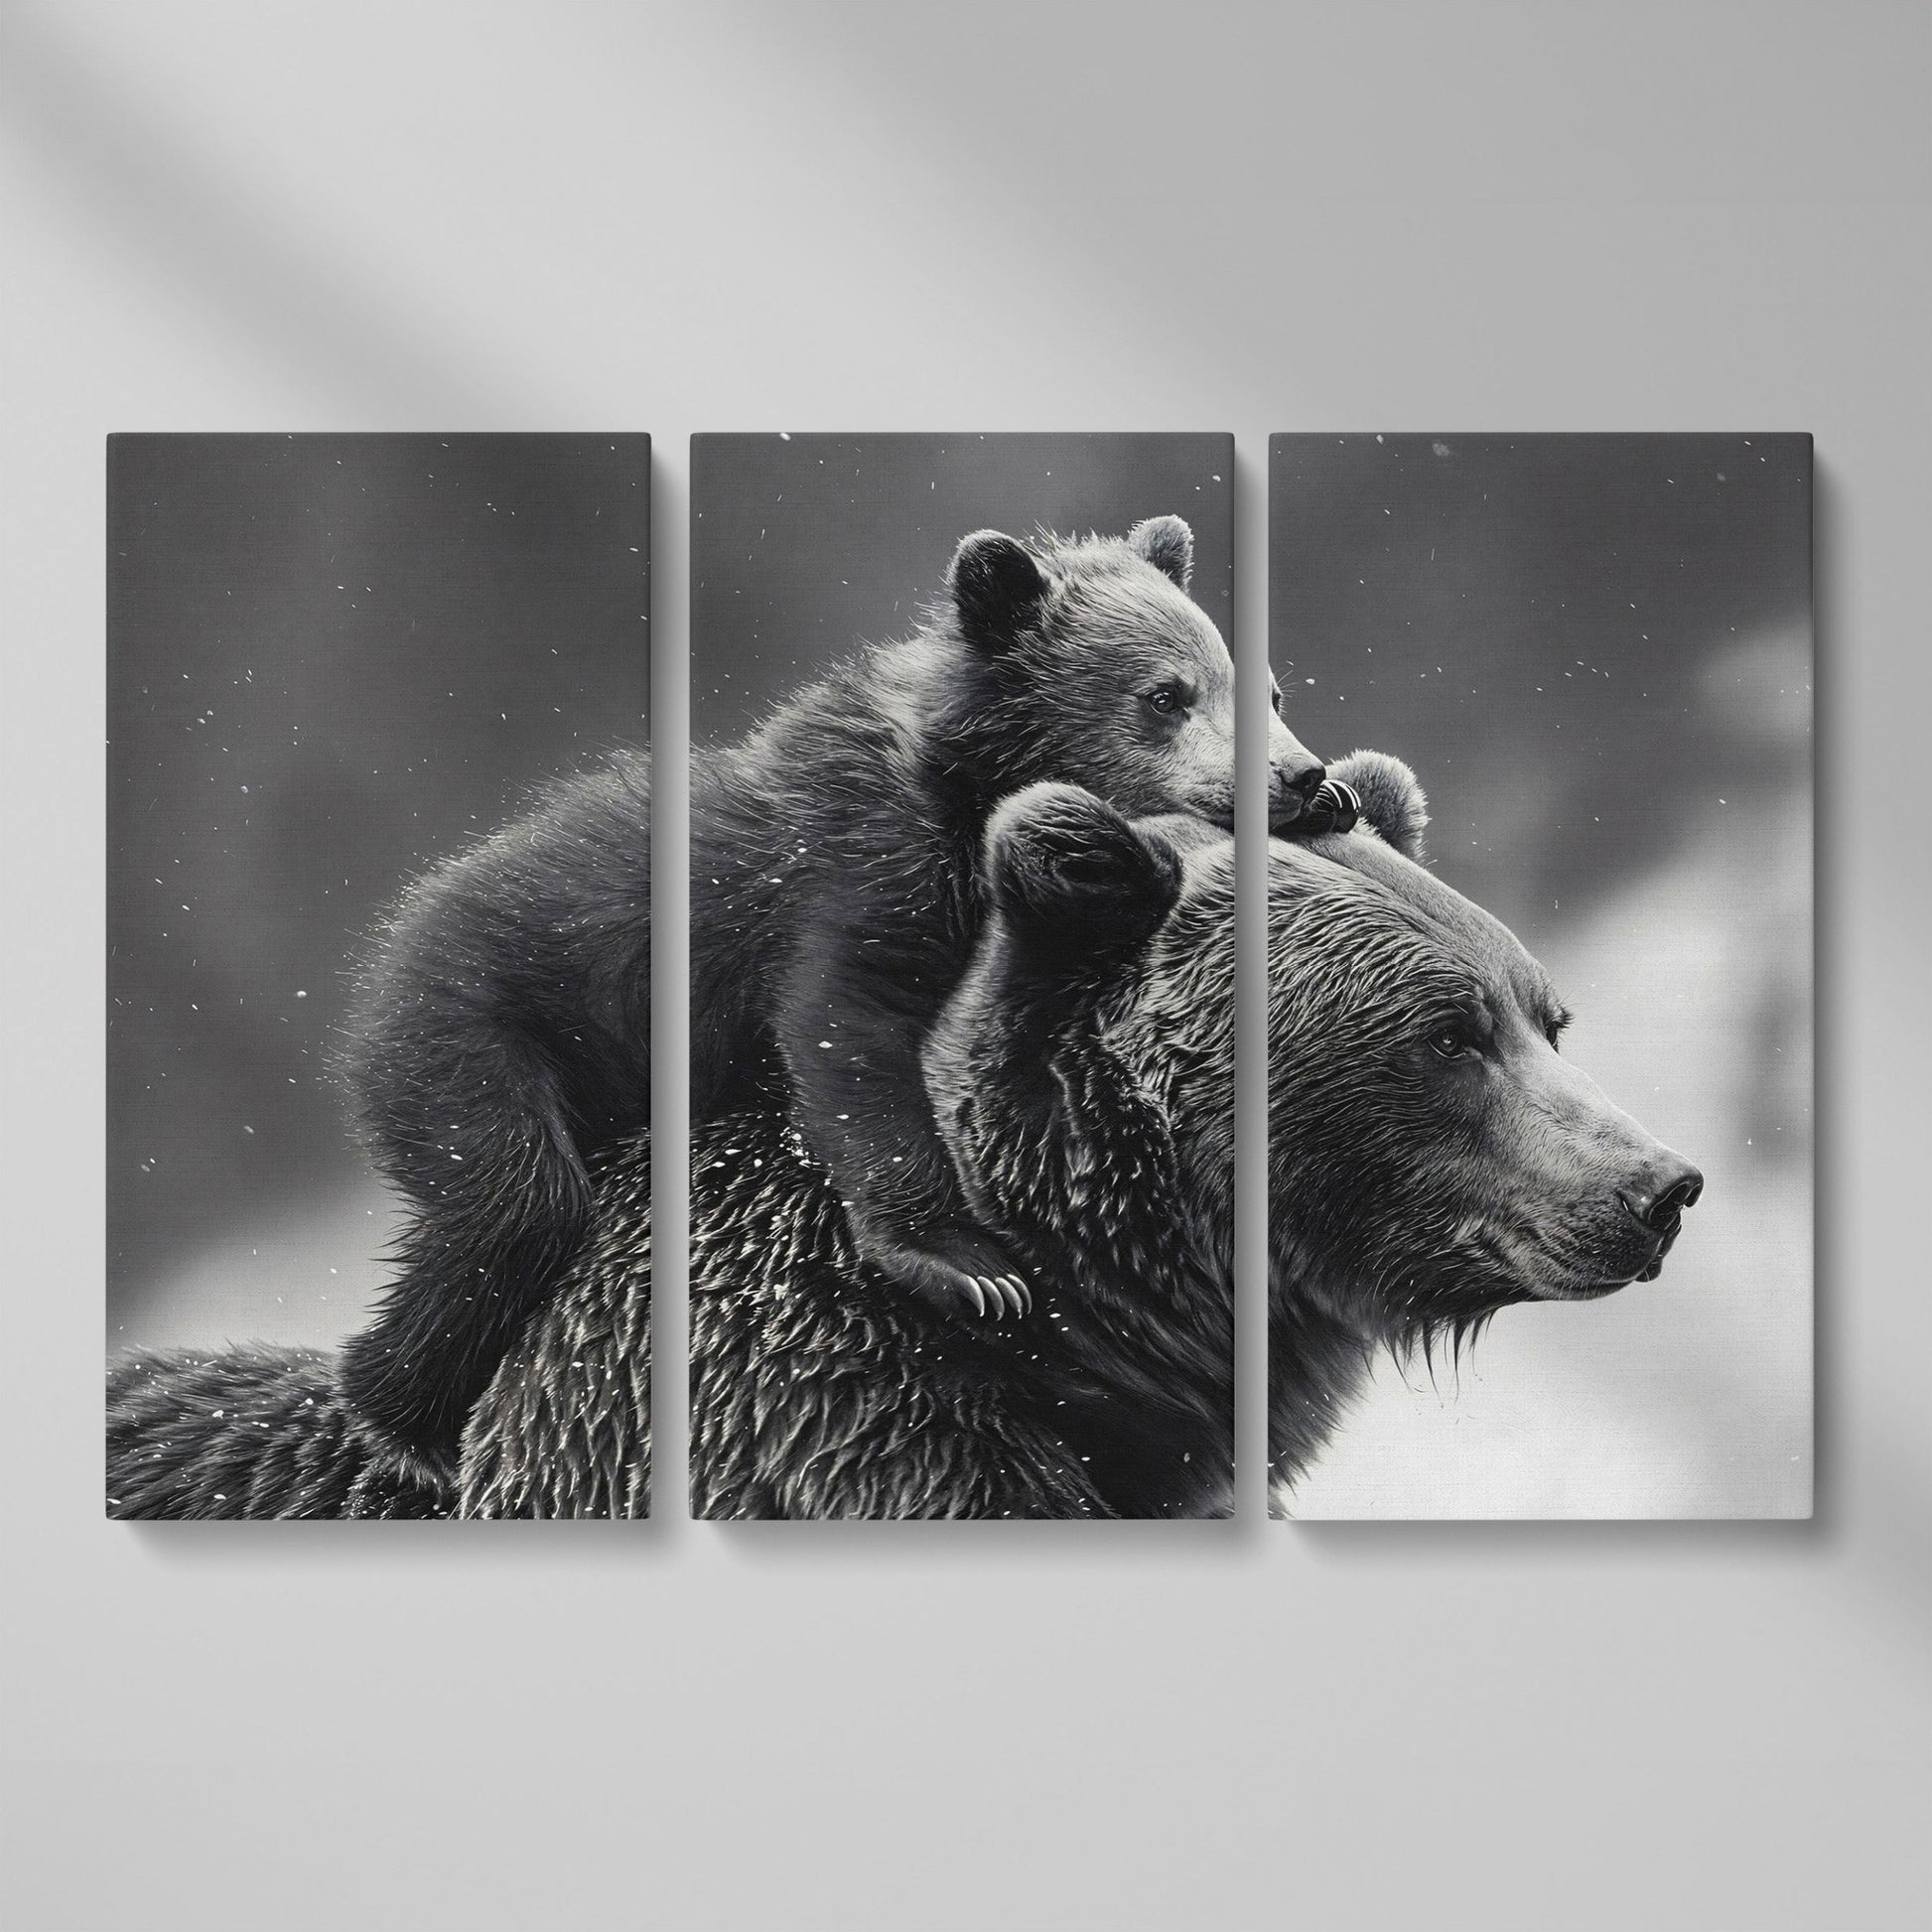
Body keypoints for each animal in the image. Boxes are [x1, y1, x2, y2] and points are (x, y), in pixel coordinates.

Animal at [336, 513, 1339, 1479]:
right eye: (1165, 696)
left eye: (1267, 690)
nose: (1302, 775)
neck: (966, 791)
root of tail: (391, 942)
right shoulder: (861, 870)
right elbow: (851, 1036)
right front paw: (965, 1264)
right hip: (477, 1029)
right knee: (515, 1206)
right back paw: (403, 1423)